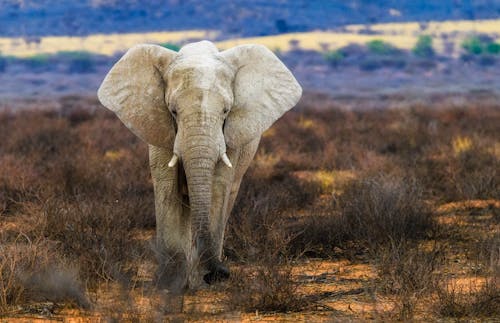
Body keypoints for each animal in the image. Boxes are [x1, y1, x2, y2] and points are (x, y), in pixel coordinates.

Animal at [96, 41, 300, 288]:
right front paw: (170, 284)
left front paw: (202, 280)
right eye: (173, 111)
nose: (222, 272)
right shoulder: (161, 130)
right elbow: (168, 190)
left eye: (226, 111)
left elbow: (217, 188)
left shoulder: (230, 136)